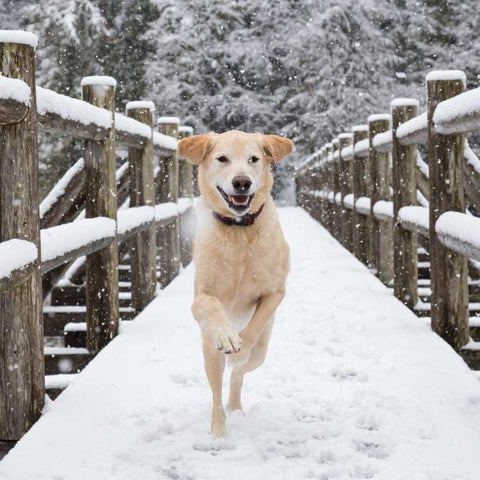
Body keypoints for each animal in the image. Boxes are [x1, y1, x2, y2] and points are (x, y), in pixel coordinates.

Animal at [178, 129, 294, 436]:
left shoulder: (275, 292)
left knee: (239, 374)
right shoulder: (200, 297)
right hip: (209, 352)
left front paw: (239, 344)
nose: (242, 182)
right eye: (222, 159)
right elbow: (211, 305)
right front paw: (228, 335)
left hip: (262, 352)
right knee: (216, 391)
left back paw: (236, 402)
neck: (239, 230)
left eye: (253, 159)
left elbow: (253, 327)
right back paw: (219, 431)